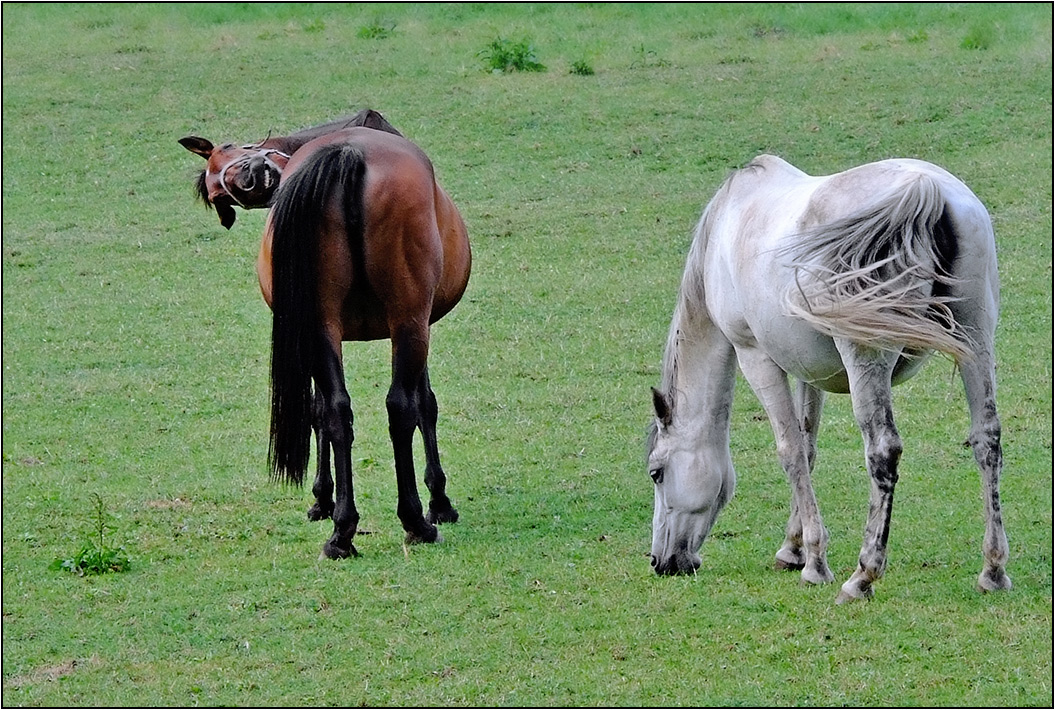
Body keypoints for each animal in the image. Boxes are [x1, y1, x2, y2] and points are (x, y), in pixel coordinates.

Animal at [181, 113, 470, 557]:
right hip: (407, 320)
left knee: (335, 411)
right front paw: (440, 503)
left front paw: (322, 500)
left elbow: (319, 411)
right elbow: (427, 405)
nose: (247, 182)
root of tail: (348, 153)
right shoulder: (419, 323)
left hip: (322, 326)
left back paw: (342, 533)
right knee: (400, 408)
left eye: (228, 152)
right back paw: (415, 523)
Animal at [645, 156, 1008, 603]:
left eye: (656, 472)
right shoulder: (807, 370)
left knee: (883, 450)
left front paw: (815, 562)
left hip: (868, 357)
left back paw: (863, 576)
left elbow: (790, 452)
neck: (728, 225)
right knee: (987, 439)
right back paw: (993, 570)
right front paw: (793, 548)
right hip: (976, 339)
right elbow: (809, 446)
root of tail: (927, 189)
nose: (660, 561)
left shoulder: (755, 356)